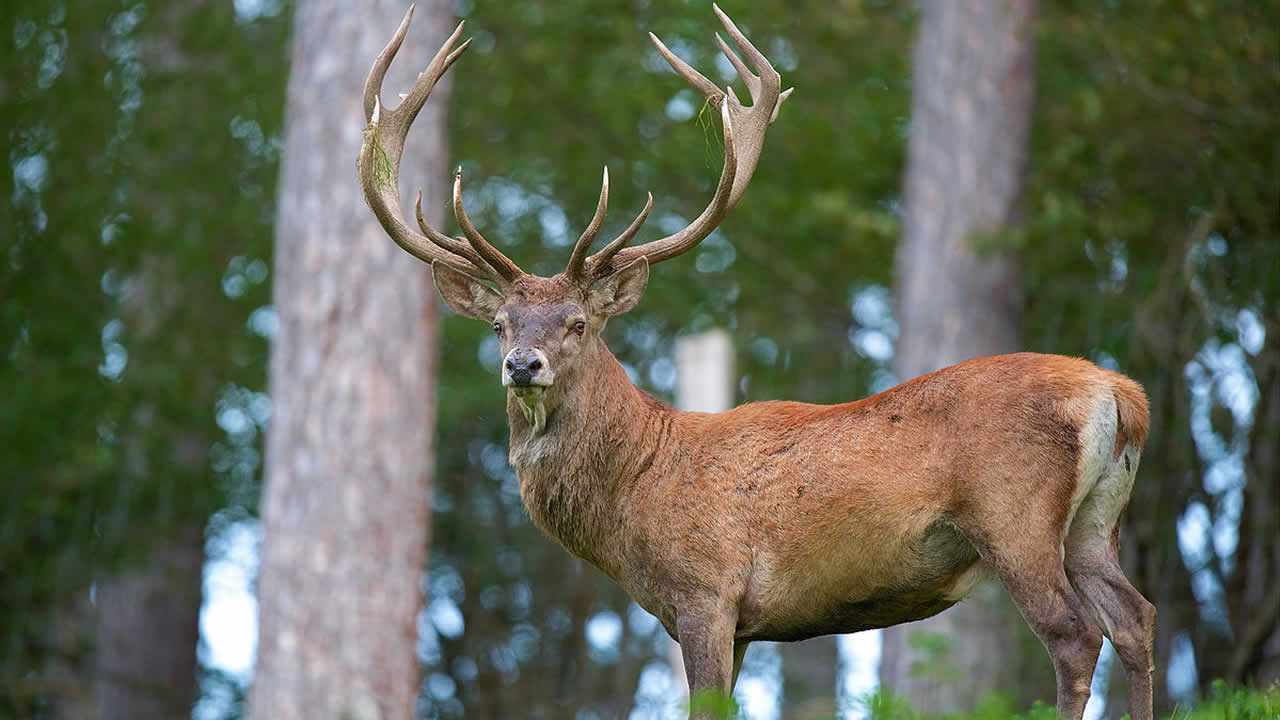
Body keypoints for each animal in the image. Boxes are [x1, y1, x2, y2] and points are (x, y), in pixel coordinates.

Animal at [358, 5, 1157, 719]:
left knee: (1075, 638)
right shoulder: (739, 624)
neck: (638, 488)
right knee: (1136, 619)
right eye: (499, 325)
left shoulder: (705, 594)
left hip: (1014, 515)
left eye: (578, 323)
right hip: (1094, 522)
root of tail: (1120, 392)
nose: (523, 365)